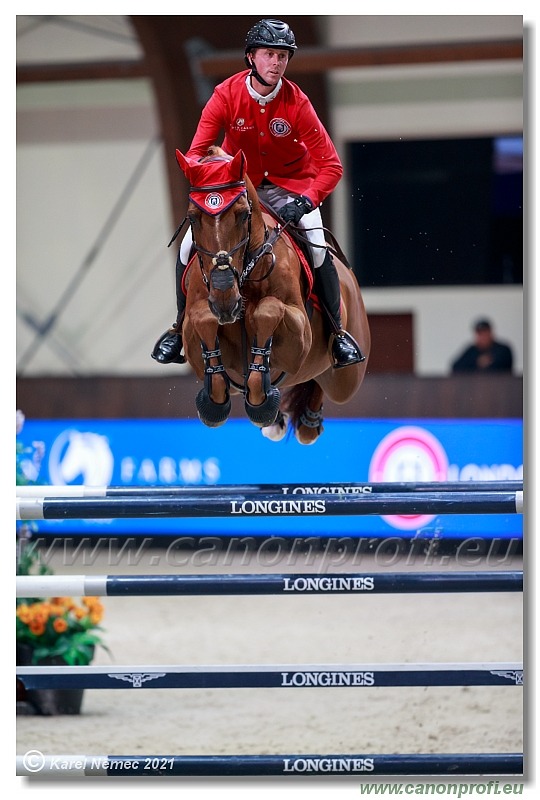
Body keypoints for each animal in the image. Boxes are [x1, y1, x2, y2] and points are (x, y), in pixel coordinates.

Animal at [175, 145, 370, 444]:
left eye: (243, 214)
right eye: (193, 217)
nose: (225, 300)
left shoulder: (300, 336)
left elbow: (268, 309)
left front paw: (261, 404)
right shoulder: (193, 331)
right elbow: (202, 318)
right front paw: (216, 404)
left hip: (346, 379)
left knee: (327, 379)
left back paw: (309, 418)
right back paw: (278, 420)